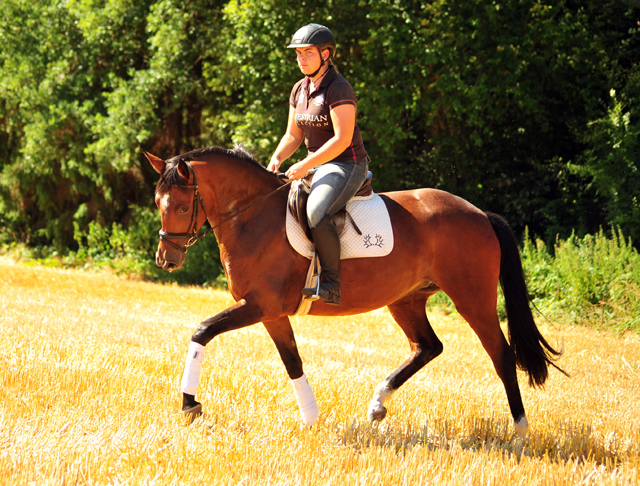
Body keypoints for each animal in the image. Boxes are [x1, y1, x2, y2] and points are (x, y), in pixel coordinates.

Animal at [145, 144, 564, 436]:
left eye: (180, 207)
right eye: (157, 203)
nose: (166, 259)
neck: (253, 216)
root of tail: (479, 214)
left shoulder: (259, 305)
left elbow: (202, 331)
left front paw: (189, 403)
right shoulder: (272, 312)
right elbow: (293, 361)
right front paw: (311, 418)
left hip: (472, 300)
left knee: (502, 356)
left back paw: (520, 430)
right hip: (406, 300)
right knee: (428, 347)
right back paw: (378, 403)